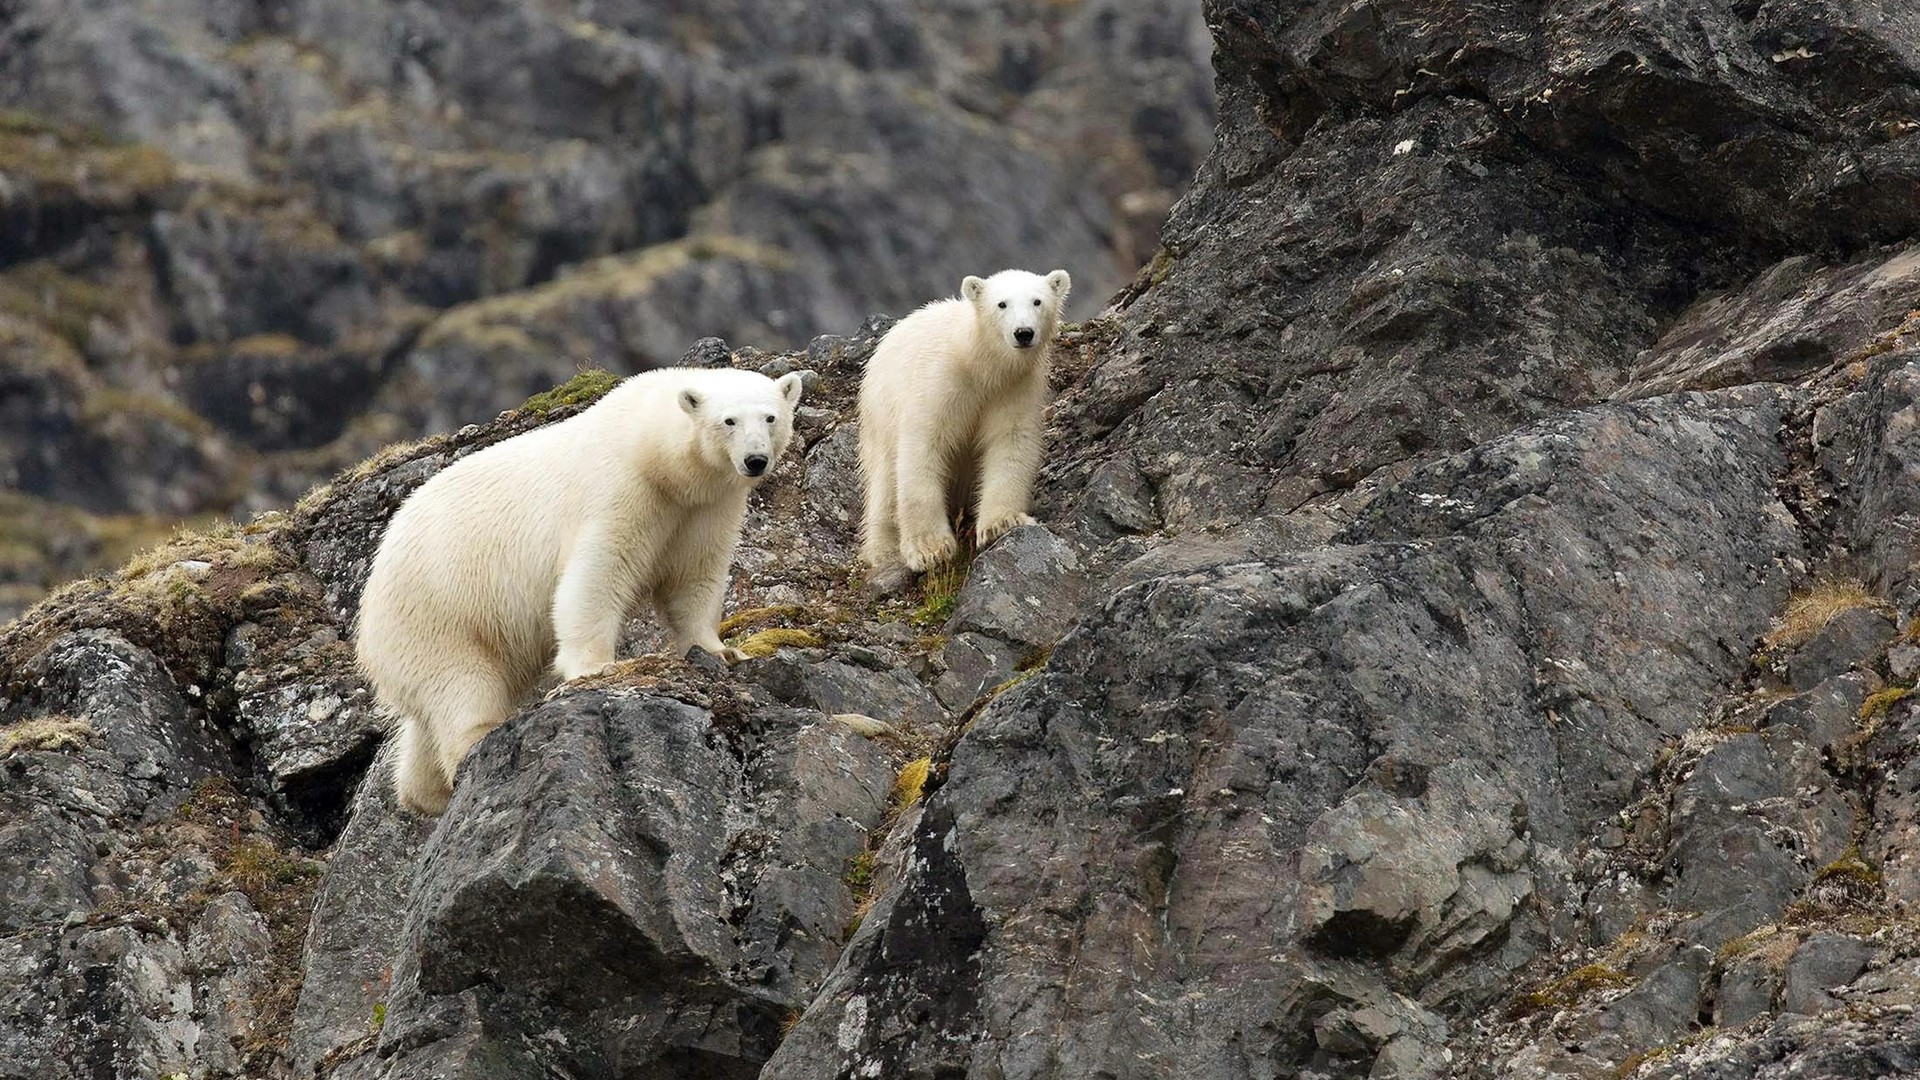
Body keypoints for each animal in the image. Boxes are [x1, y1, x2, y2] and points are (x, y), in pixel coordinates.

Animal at [354, 366, 804, 815]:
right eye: (728, 421)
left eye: (770, 417)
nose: (755, 460)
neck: (652, 452)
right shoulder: (621, 491)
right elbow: (598, 573)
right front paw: (598, 667)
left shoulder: (706, 508)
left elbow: (695, 577)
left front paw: (721, 650)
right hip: (438, 609)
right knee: (461, 683)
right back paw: (476, 741)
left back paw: (421, 792)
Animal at [857, 267, 1071, 591]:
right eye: (1001, 304)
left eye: (1037, 301)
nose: (1023, 333)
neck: (979, 362)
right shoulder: (940, 381)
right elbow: (924, 445)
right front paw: (930, 549)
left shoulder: (1014, 388)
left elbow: (1010, 441)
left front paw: (1001, 523)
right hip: (879, 411)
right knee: (883, 483)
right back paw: (883, 550)